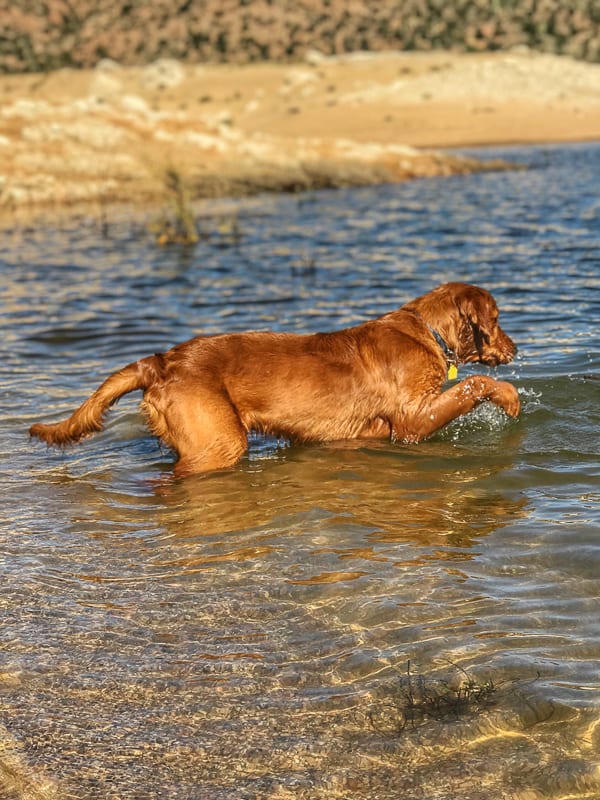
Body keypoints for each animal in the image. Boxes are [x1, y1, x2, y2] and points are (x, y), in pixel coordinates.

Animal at [30, 282, 520, 476]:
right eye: (497, 319)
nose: (515, 348)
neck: (427, 330)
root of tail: (161, 362)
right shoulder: (412, 420)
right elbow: (475, 385)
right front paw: (511, 397)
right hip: (219, 441)